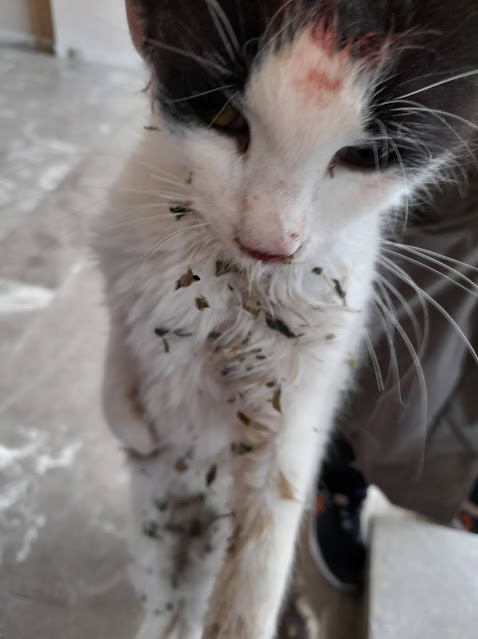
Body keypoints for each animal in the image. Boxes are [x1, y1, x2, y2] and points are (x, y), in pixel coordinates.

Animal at [95, 2, 478, 638]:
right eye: (223, 114)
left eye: (365, 156)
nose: (270, 243)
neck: (227, 280)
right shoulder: (123, 260)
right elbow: (120, 347)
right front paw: (132, 426)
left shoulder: (303, 388)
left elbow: (267, 534)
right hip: (151, 529)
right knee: (163, 591)